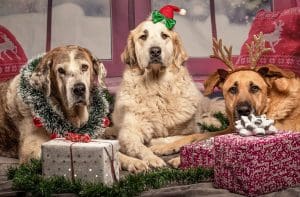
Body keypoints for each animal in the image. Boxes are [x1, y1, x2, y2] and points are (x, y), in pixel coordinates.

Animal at [110, 18, 225, 172]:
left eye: (164, 35)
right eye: (143, 36)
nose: (155, 51)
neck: (157, 86)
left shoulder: (190, 129)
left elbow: (183, 136)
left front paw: (157, 144)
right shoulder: (129, 133)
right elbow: (139, 146)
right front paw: (151, 158)